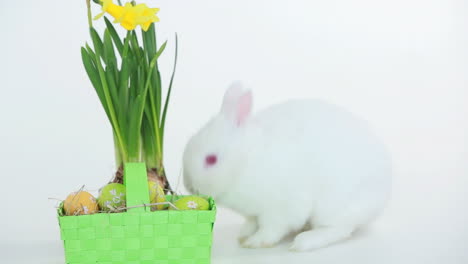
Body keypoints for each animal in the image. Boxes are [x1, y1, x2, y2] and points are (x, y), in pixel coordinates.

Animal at [183, 81, 392, 251]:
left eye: (211, 159)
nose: (190, 186)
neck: (247, 161)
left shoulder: (281, 209)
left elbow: (272, 228)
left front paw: (256, 242)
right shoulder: (253, 214)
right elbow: (251, 223)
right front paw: (243, 235)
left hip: (335, 207)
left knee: (339, 229)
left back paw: (304, 242)